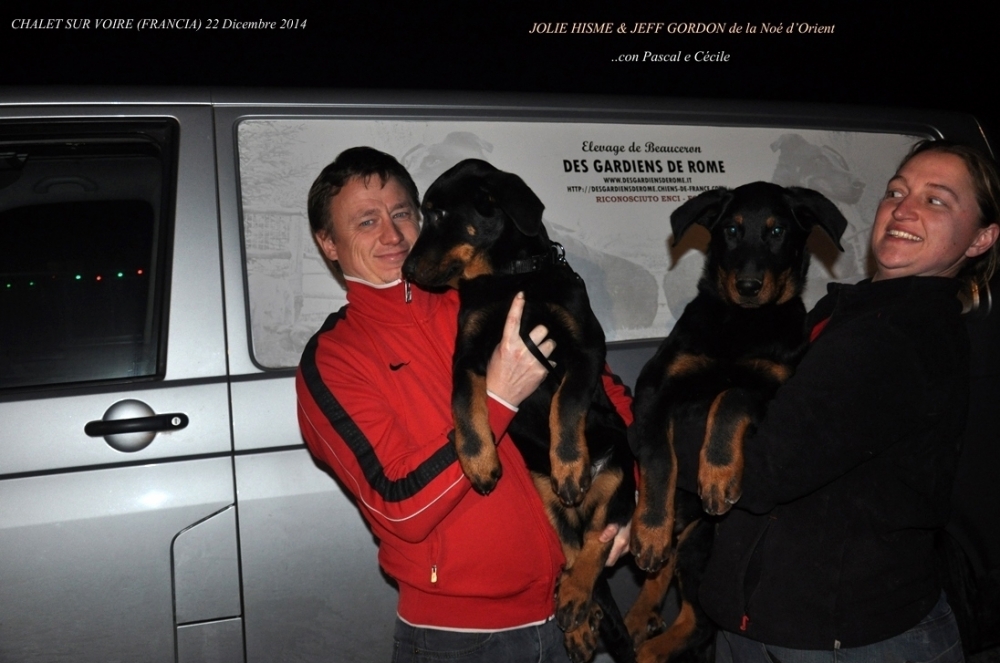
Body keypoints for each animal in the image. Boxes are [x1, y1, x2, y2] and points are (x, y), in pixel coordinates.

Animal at [402, 161, 636, 663]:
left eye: (440, 213)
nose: (406, 270)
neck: (508, 278)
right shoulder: (468, 354)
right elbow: (464, 402)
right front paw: (478, 463)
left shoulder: (585, 349)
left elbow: (567, 402)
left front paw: (568, 464)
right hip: (548, 501)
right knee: (574, 552)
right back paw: (577, 615)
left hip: (618, 475)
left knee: (597, 542)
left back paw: (575, 593)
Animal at [628, 183, 848, 663]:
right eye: (731, 230)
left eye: (777, 231)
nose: (748, 286)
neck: (743, 321)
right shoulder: (655, 389)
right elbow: (658, 457)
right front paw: (649, 528)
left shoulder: (772, 386)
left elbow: (729, 398)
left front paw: (717, 474)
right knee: (667, 567)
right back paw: (641, 606)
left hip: (703, 545)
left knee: (697, 621)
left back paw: (650, 649)